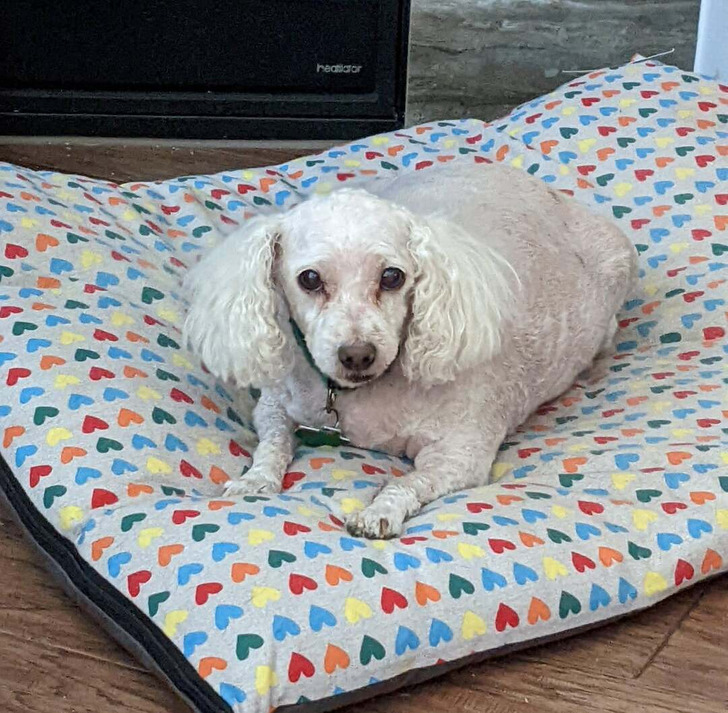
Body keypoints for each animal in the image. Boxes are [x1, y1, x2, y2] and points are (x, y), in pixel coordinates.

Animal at [184, 161, 637, 539]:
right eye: (309, 279)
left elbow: (408, 481)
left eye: (392, 276)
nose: (357, 355)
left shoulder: (460, 456)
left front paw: (378, 512)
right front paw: (255, 479)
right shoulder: (275, 405)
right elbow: (273, 443)